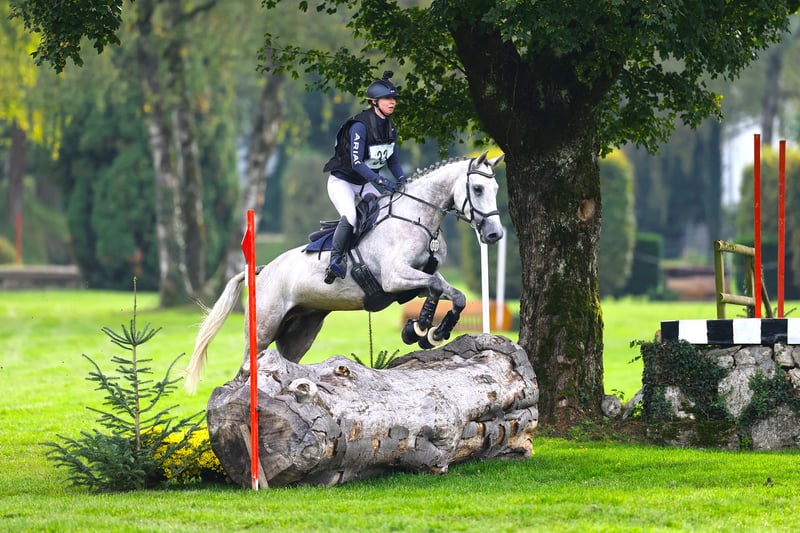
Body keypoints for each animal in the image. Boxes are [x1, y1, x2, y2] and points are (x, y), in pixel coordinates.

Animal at [185, 152, 505, 393]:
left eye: (496, 190)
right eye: (478, 189)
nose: (494, 234)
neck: (417, 218)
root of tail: (261, 272)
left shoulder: (409, 284)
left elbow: (451, 292)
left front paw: (432, 331)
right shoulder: (394, 278)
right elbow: (437, 285)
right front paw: (421, 328)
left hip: (301, 332)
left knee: (283, 362)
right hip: (264, 326)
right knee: (247, 364)